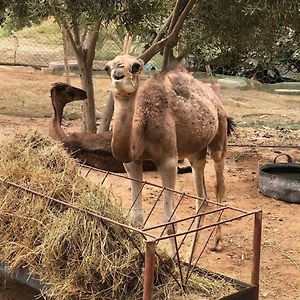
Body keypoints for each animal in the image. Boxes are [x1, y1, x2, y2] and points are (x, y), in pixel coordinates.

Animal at [105, 54, 234, 255]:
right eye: (107, 67)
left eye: (135, 66)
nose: (117, 74)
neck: (142, 125)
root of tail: (213, 97)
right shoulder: (132, 163)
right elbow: (136, 217)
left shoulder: (168, 160)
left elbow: (170, 221)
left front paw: (173, 260)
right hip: (195, 152)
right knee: (202, 198)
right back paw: (190, 256)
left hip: (219, 138)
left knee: (219, 186)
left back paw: (217, 243)